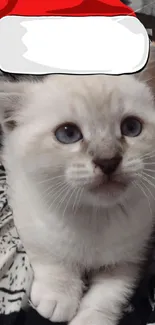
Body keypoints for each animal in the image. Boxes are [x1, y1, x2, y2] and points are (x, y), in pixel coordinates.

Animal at [0, 51, 155, 324]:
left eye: (131, 127)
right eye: (68, 134)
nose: (108, 160)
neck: (95, 217)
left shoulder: (130, 256)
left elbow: (110, 293)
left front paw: (91, 319)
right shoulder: (28, 215)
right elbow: (52, 257)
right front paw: (58, 297)